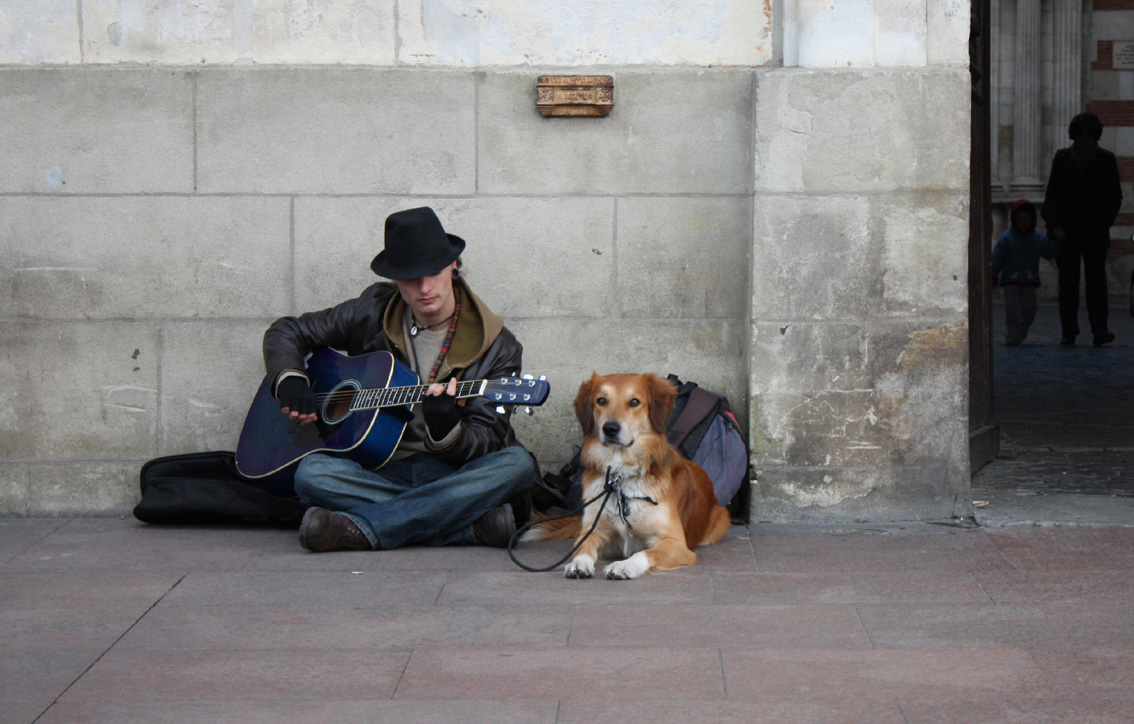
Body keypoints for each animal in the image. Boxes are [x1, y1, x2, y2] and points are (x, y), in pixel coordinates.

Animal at [523, 374, 730, 578]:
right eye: (601, 400)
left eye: (634, 402)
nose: (610, 429)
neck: (620, 474)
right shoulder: (594, 530)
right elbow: (583, 547)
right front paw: (578, 563)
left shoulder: (675, 543)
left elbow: (644, 553)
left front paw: (624, 566)